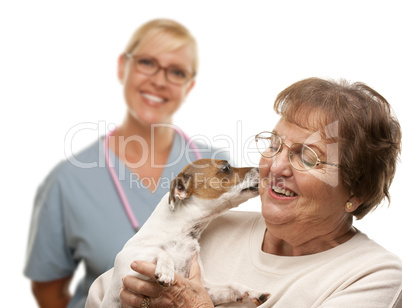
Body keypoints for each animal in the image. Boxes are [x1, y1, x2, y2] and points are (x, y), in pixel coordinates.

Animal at [99, 160, 270, 306]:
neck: (182, 236)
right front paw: (165, 270)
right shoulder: (127, 276)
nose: (260, 168)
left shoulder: (204, 288)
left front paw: (252, 292)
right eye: (226, 167)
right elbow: (161, 251)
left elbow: (231, 285)